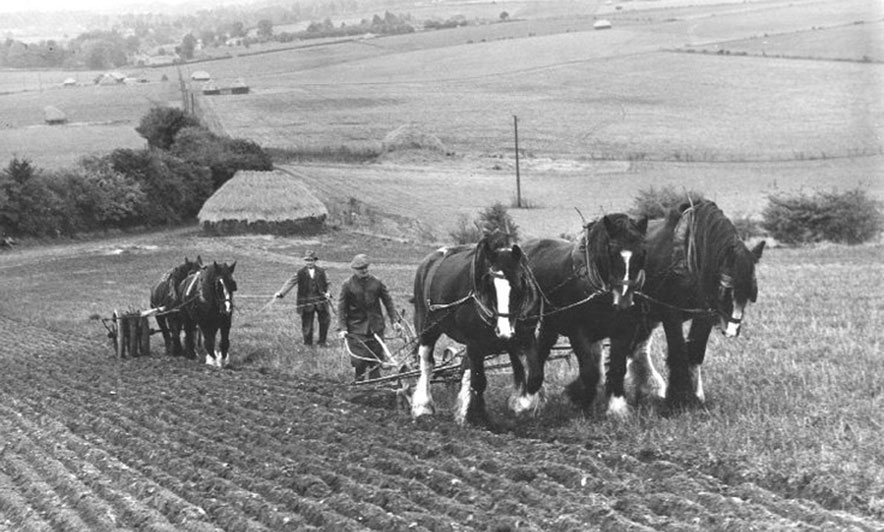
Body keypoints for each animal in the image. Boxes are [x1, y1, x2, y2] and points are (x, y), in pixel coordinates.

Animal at [410, 231, 544, 426]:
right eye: (489, 284)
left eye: (519, 284)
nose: (503, 331)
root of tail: (429, 261)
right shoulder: (474, 343)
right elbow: (479, 382)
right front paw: (478, 416)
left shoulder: (524, 338)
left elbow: (534, 376)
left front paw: (522, 405)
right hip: (427, 327)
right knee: (427, 364)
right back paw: (423, 406)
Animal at [624, 201, 764, 408]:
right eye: (725, 288)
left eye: (749, 293)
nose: (732, 331)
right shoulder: (670, 313)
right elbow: (678, 351)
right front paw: (679, 400)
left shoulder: (705, 314)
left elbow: (696, 351)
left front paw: (696, 397)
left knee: (637, 349)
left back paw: (645, 390)